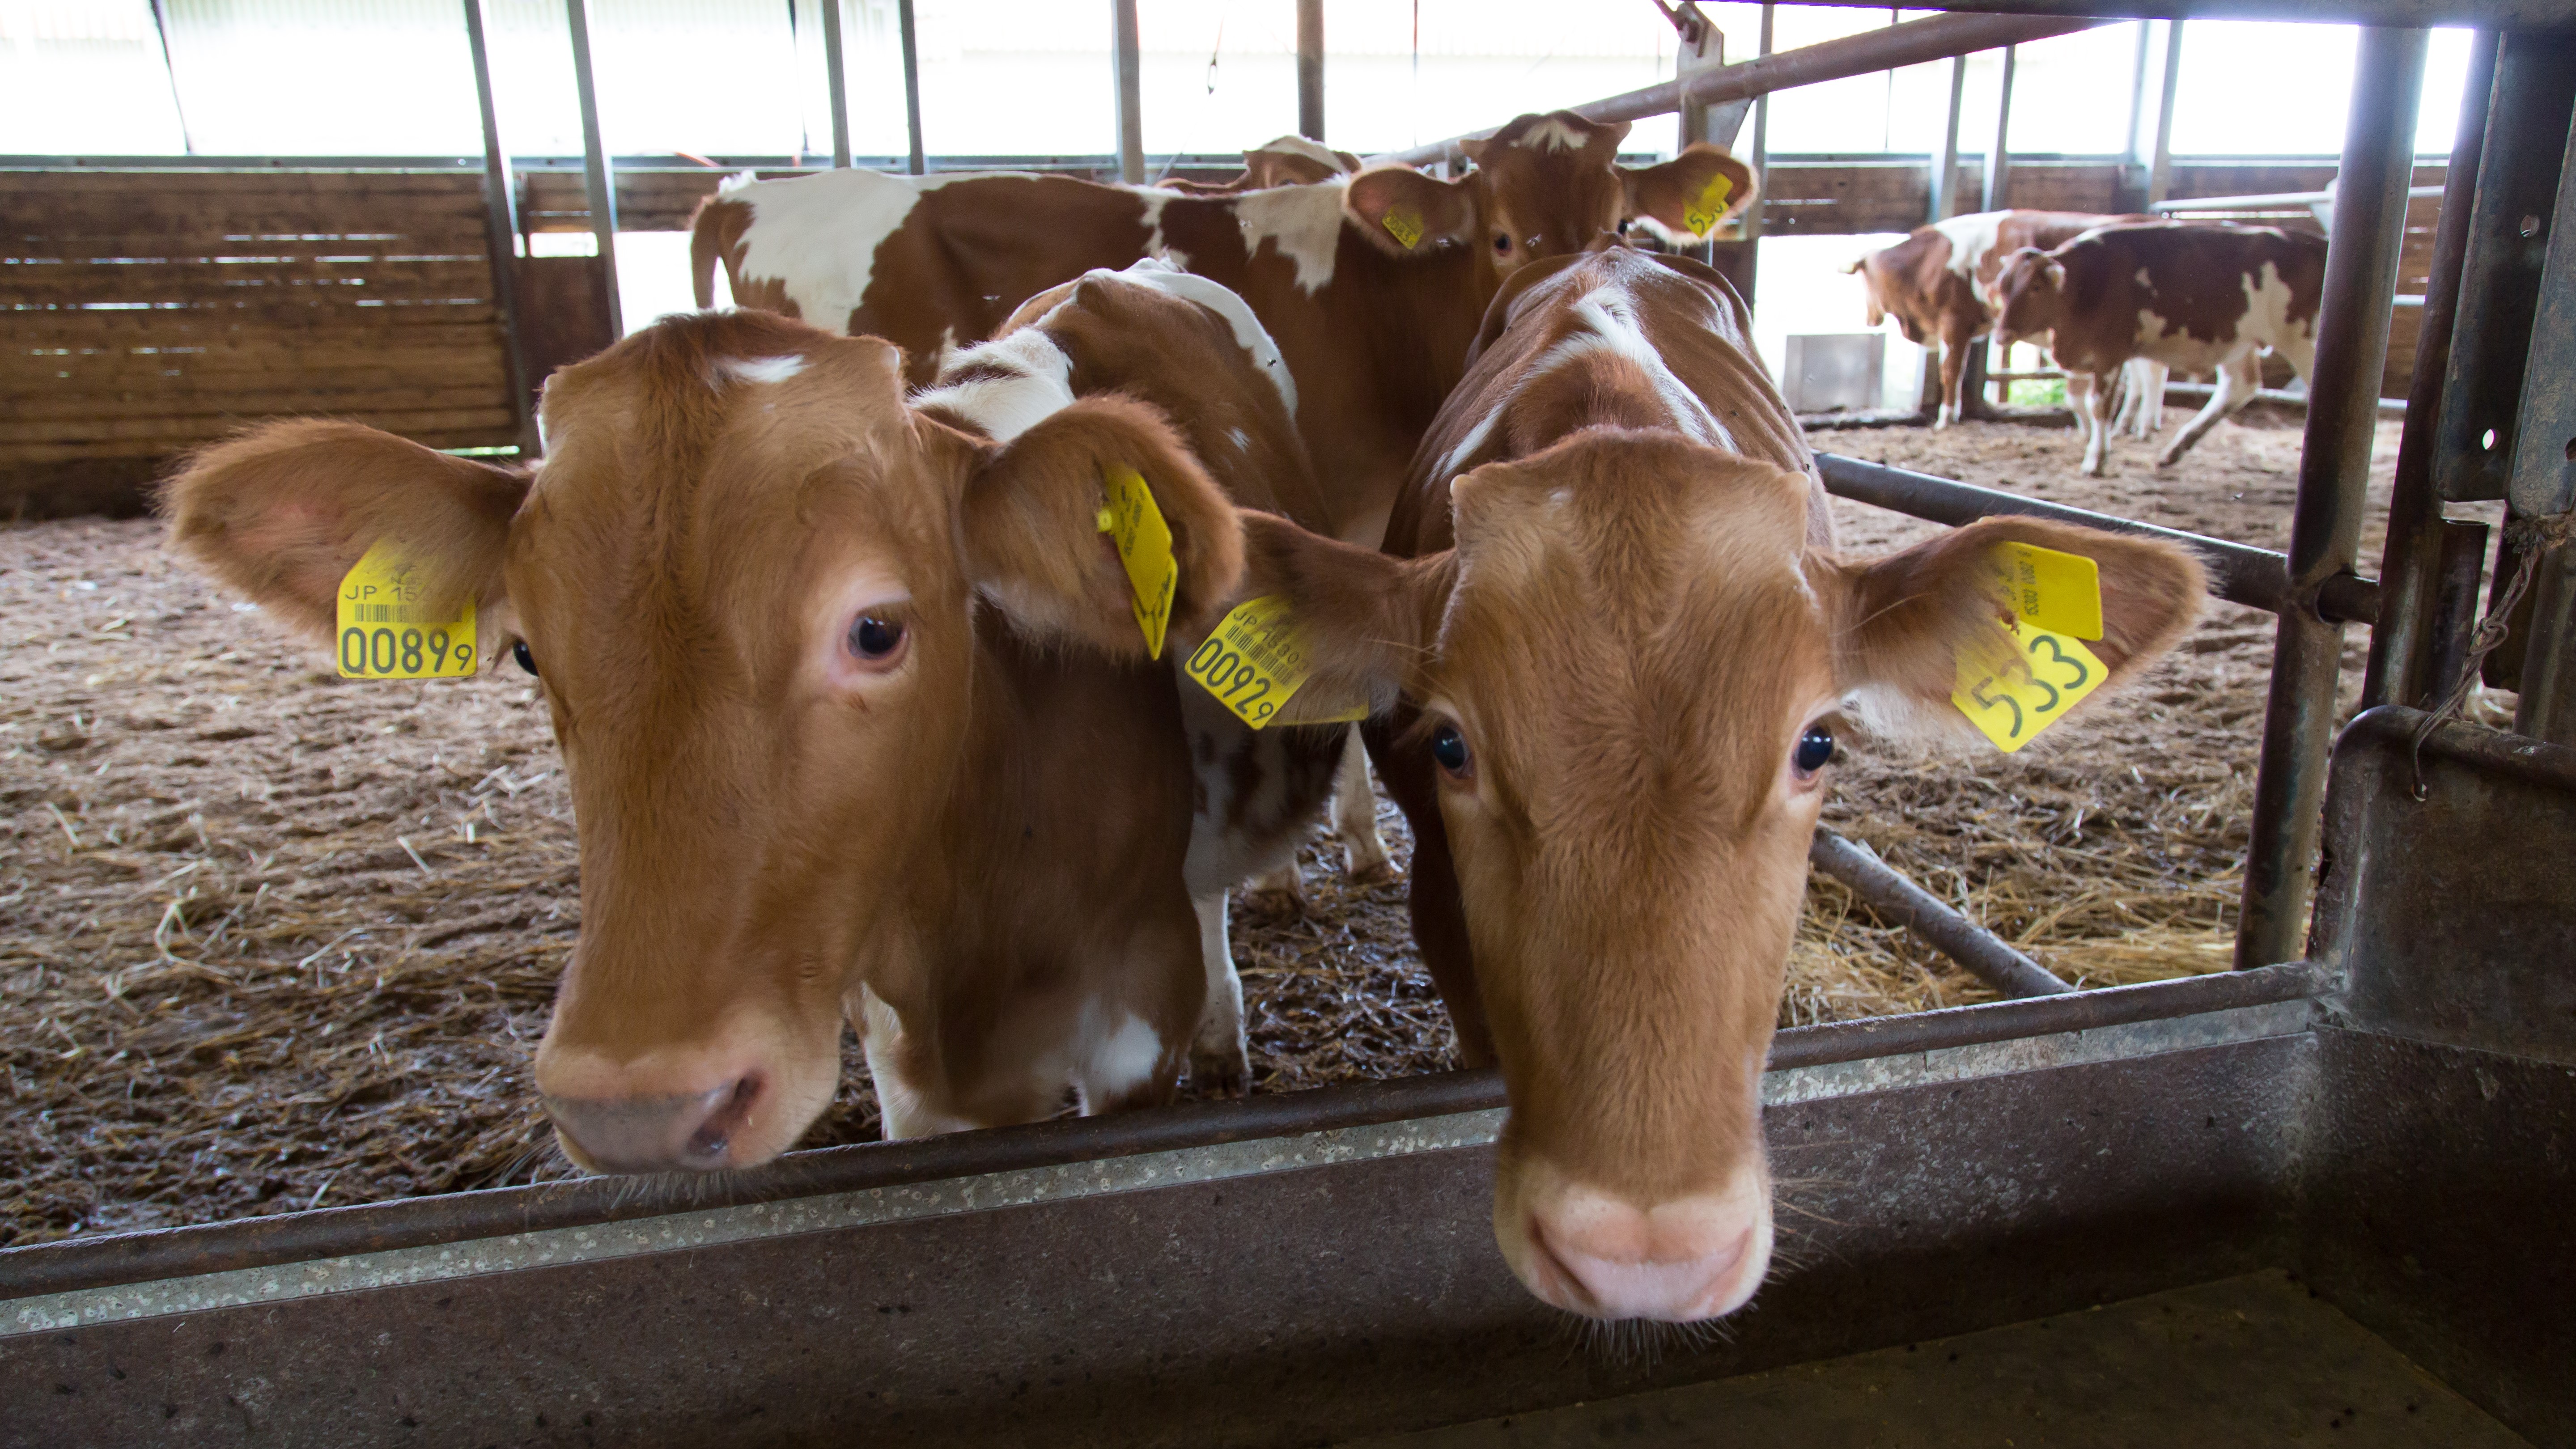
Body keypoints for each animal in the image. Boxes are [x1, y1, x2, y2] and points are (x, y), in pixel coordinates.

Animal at [1844, 210, 2164, 435]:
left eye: (1863, 281)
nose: (1869, 320)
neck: (1932, 261)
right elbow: (1957, 371)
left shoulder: (1954, 321)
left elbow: (1950, 371)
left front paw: (1945, 419)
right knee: (2143, 377)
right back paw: (2132, 426)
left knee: (2151, 374)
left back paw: (2143, 426)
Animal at [1978, 220, 2329, 476]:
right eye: (2003, 287)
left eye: (2036, 287)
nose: (2002, 334)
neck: (2086, 284)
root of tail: (2316, 244)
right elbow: (2077, 400)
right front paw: (2092, 439)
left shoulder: (2111, 351)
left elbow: (2100, 405)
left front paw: (2096, 458)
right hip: (2238, 340)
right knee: (2240, 386)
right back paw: (2175, 449)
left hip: (2299, 339)